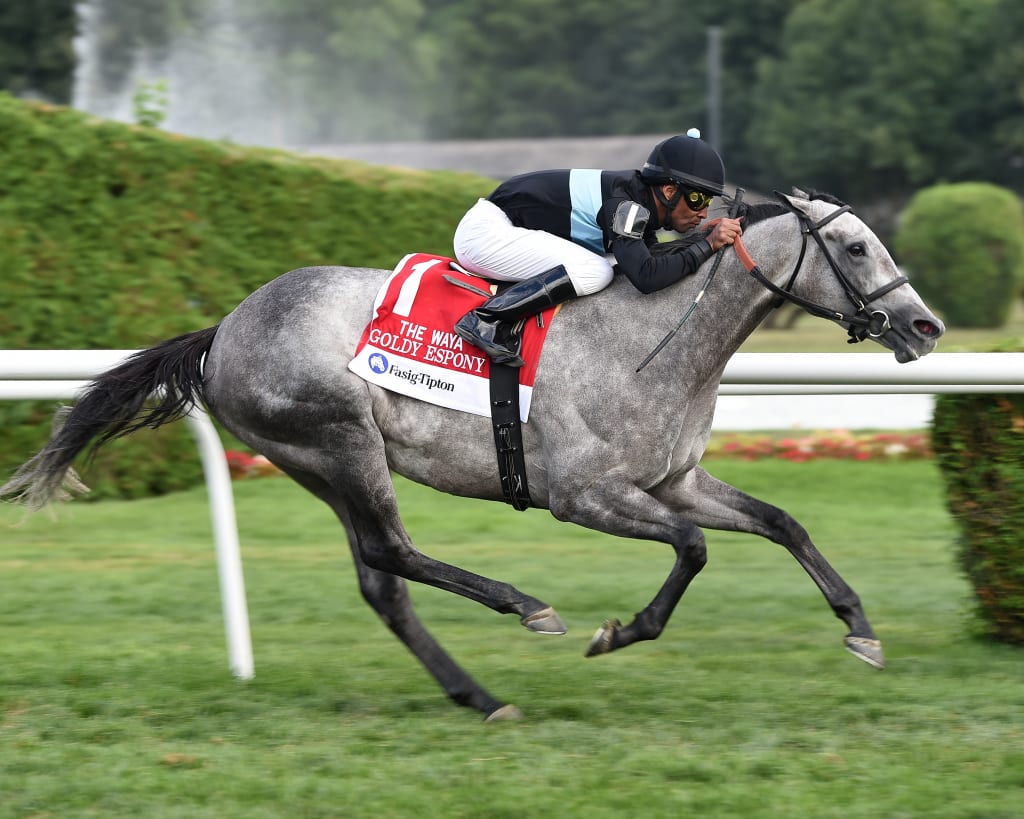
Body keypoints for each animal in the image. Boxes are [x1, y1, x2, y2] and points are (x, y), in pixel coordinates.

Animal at [0, 190, 942, 716]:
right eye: (855, 246)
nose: (925, 324)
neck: (654, 337)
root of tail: (224, 328)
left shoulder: (674, 478)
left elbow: (781, 521)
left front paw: (860, 629)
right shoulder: (586, 495)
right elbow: (695, 548)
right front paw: (618, 631)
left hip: (318, 463)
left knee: (381, 578)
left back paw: (478, 695)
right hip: (339, 439)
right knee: (394, 549)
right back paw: (523, 604)